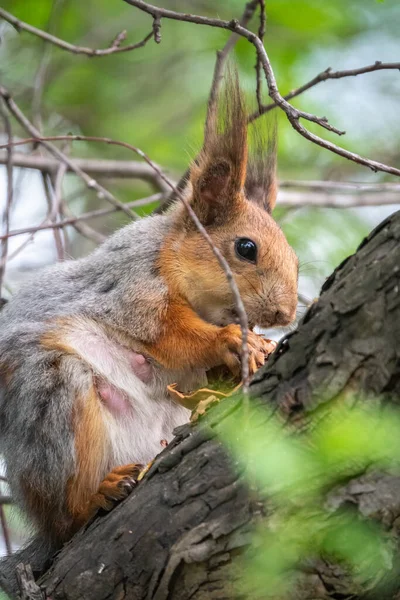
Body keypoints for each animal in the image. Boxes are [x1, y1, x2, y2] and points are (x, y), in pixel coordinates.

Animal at [0, 75, 298, 552]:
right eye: (246, 247)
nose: (284, 312)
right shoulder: (131, 287)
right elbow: (167, 335)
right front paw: (233, 340)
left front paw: (260, 349)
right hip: (51, 393)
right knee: (63, 518)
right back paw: (94, 497)